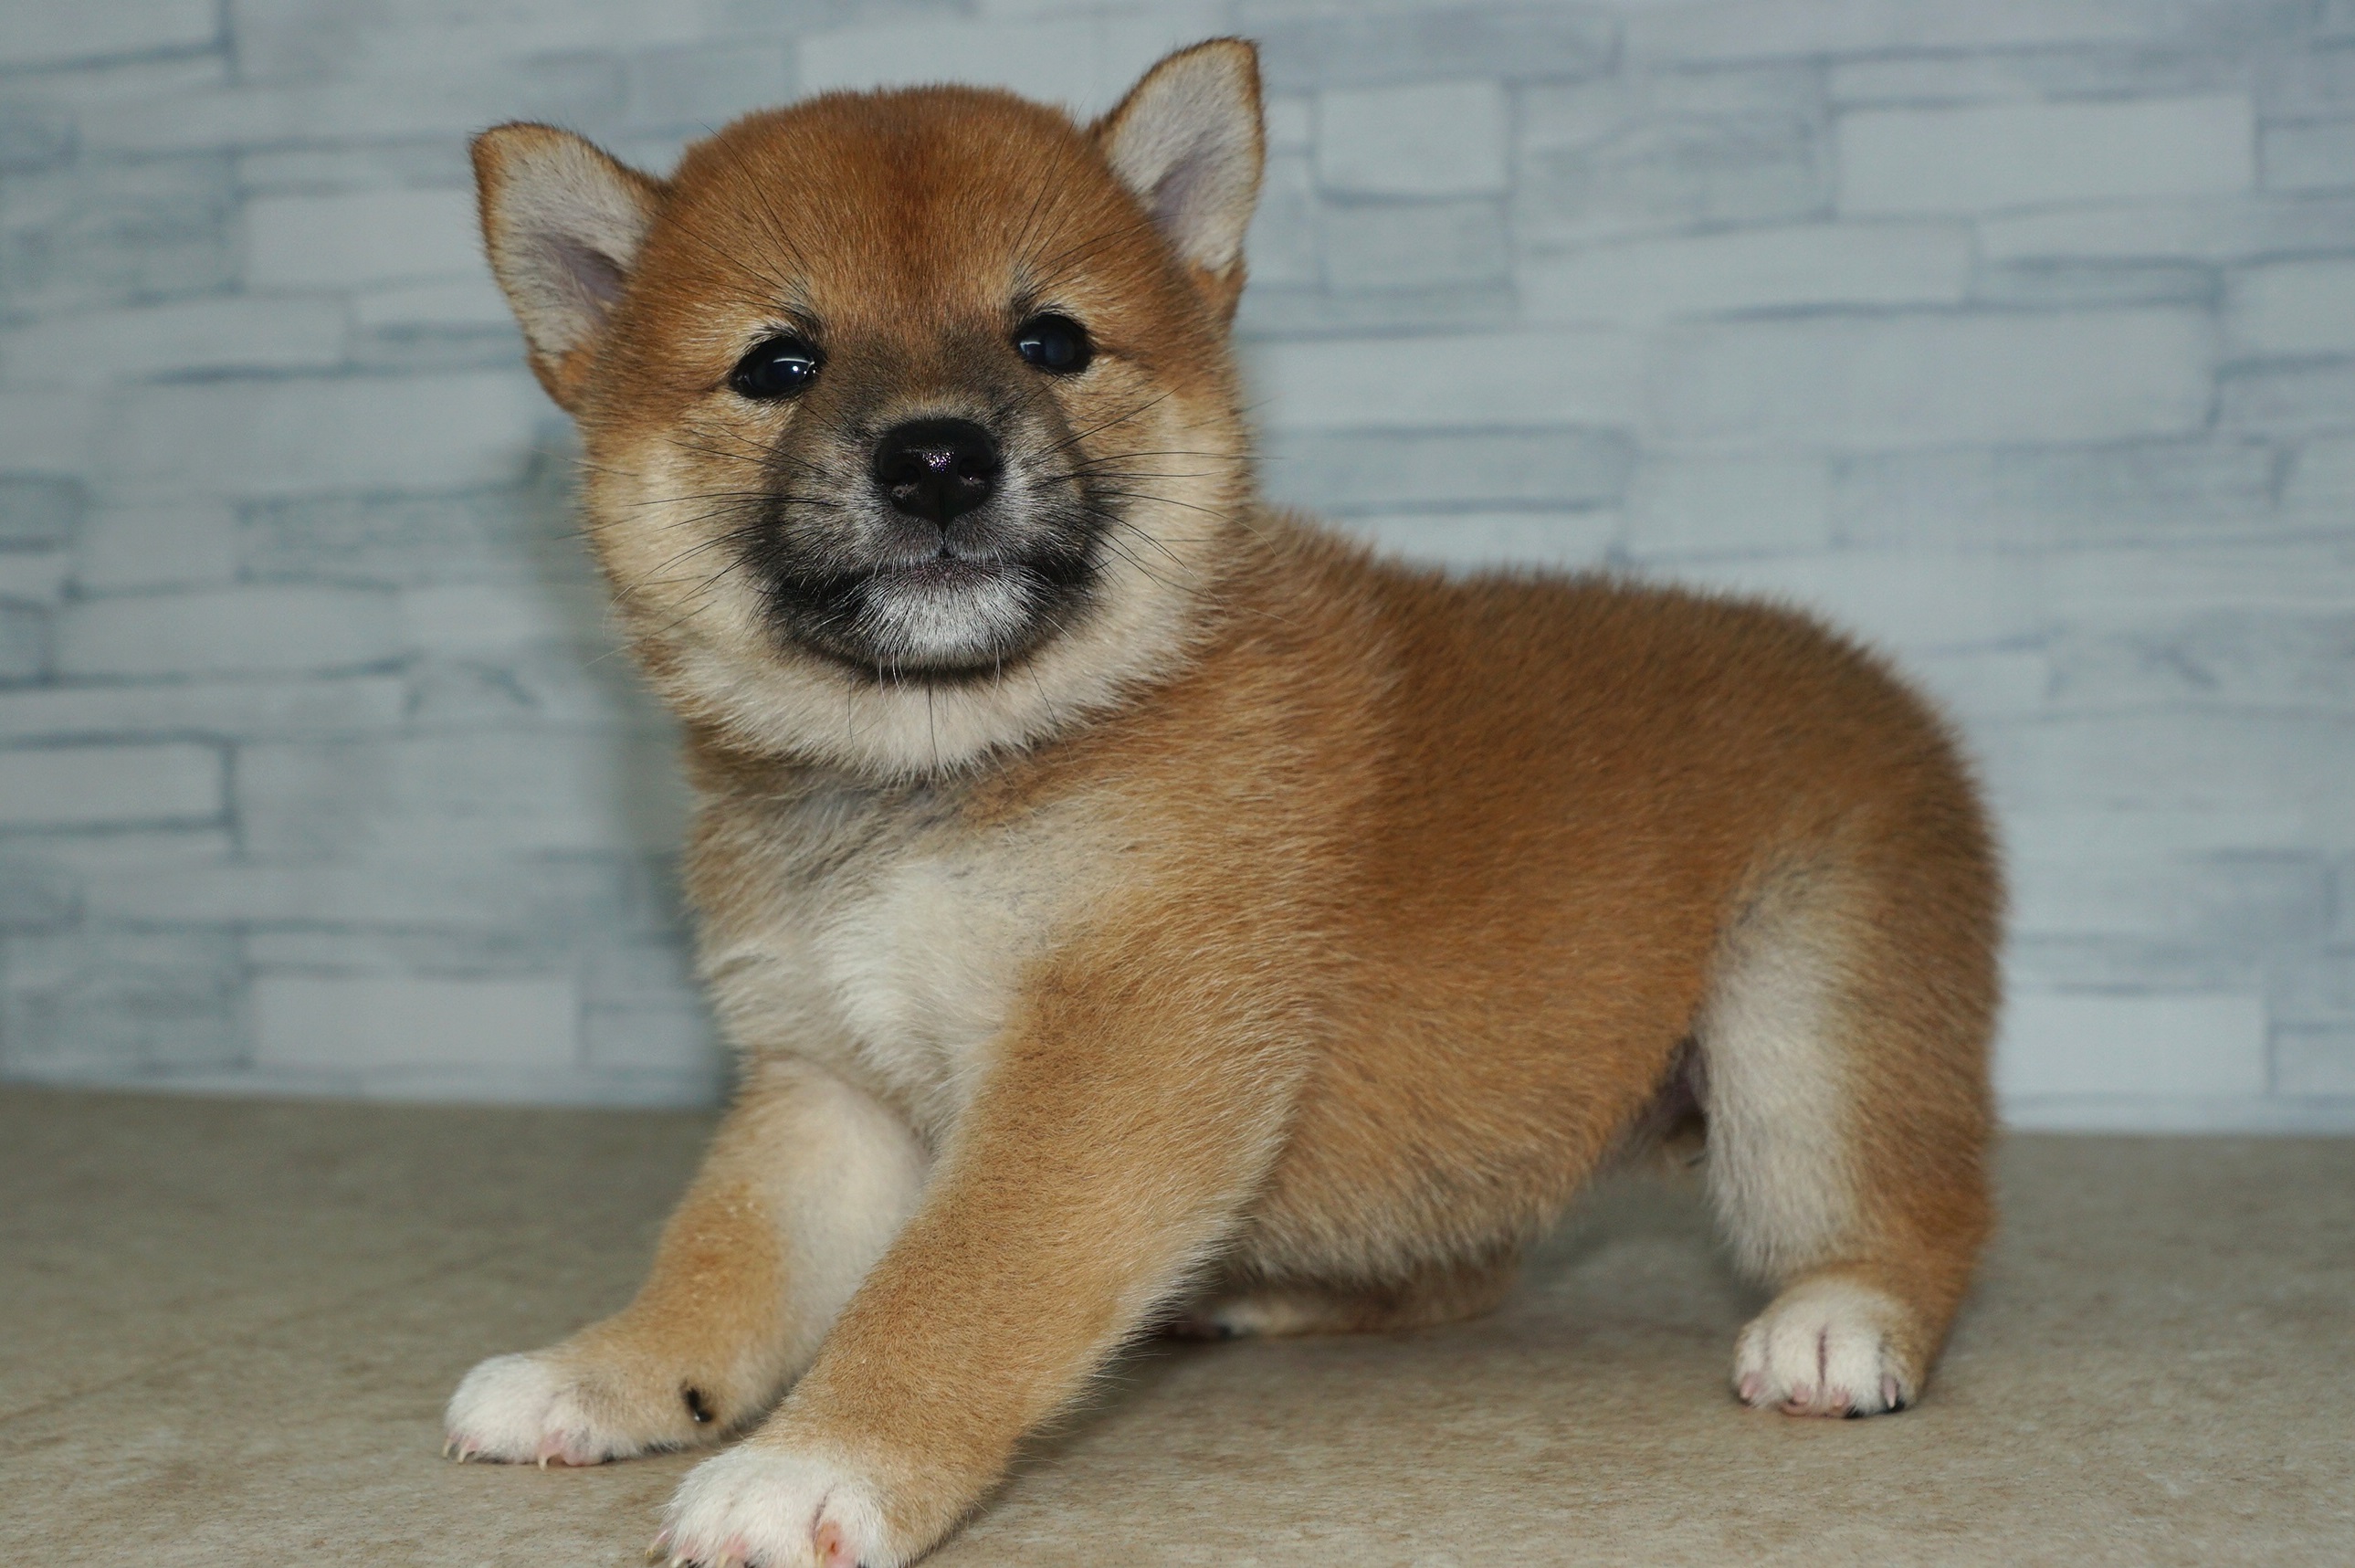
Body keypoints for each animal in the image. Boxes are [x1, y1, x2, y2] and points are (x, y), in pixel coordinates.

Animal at [445, 39, 2006, 1563]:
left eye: (1050, 341)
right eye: (779, 362)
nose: (938, 456)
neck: (944, 768)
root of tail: (1884, 689)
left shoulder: (1111, 1054)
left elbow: (955, 1284)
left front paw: (817, 1464)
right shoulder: (830, 1086)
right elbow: (722, 1260)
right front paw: (606, 1372)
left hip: (1798, 1042)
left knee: (1917, 1211)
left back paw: (1840, 1322)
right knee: (1466, 1266)